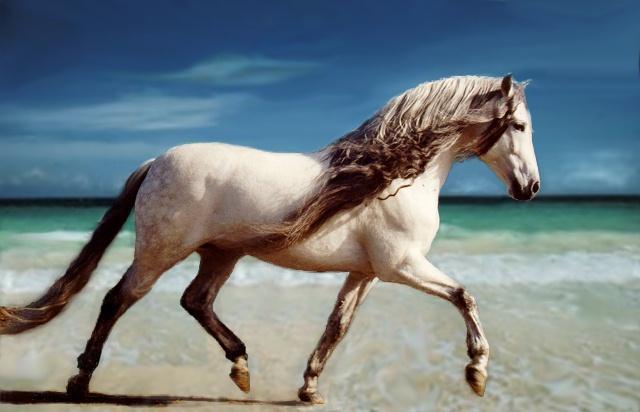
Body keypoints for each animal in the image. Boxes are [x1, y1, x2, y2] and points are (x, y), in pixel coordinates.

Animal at [1, 73, 540, 402]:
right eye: (518, 124)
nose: (531, 189)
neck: (393, 175)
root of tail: (155, 161)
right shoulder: (400, 266)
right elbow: (464, 296)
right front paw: (477, 373)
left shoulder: (364, 274)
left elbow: (337, 327)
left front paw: (309, 389)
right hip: (161, 251)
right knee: (118, 298)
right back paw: (80, 380)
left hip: (221, 254)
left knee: (195, 301)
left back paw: (241, 366)